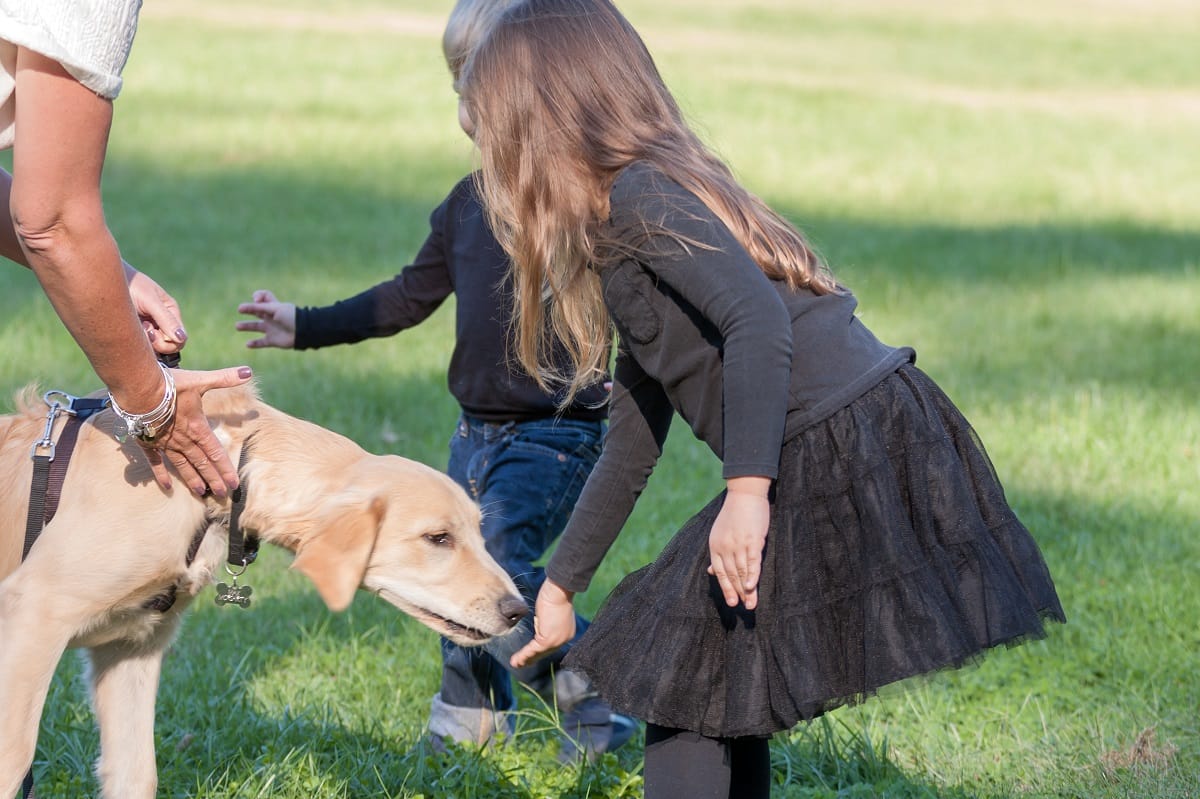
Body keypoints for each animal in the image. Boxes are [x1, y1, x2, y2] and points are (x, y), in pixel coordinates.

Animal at [0, 381, 525, 796]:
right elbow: (14, 761)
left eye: (479, 532)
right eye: (438, 538)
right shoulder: (33, 618)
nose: (518, 611)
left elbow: (135, 773)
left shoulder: (132, 647)